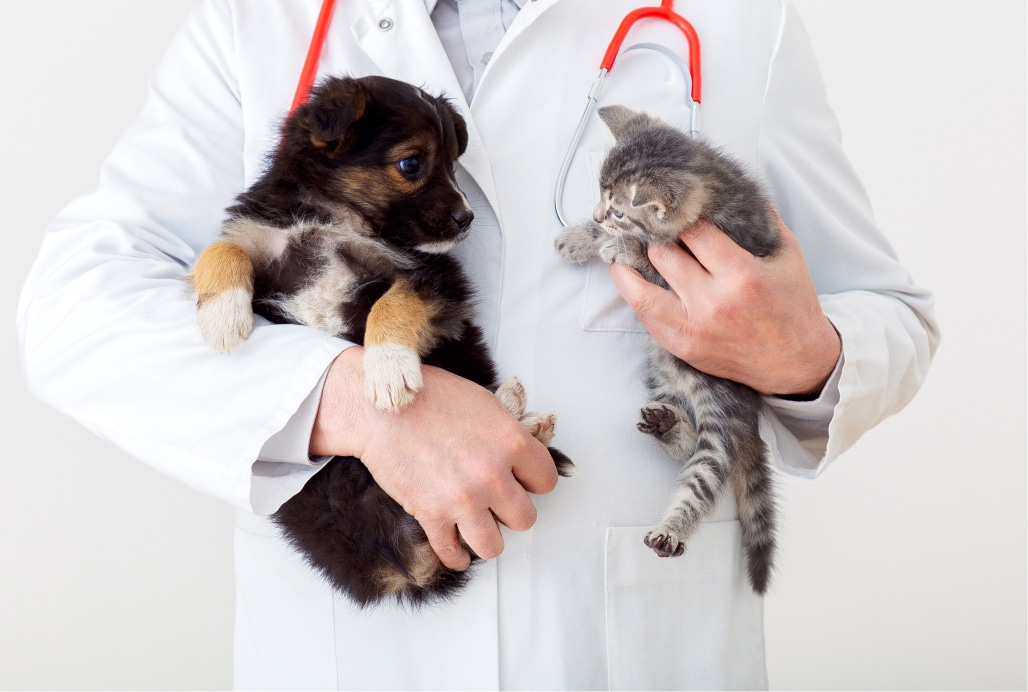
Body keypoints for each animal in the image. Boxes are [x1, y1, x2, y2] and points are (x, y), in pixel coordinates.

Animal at [190, 75, 575, 604]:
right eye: (412, 164)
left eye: (453, 164)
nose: (467, 218)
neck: (336, 217)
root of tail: (407, 568)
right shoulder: (263, 237)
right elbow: (223, 245)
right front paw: (223, 315)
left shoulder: (431, 277)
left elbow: (392, 302)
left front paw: (389, 370)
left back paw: (522, 415)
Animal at [559, 103, 773, 592]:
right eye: (599, 194)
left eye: (619, 210)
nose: (598, 215)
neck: (712, 178)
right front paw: (580, 237)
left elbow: (648, 258)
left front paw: (619, 247)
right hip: (664, 373)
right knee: (686, 438)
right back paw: (668, 426)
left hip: (721, 404)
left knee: (708, 466)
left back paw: (673, 528)